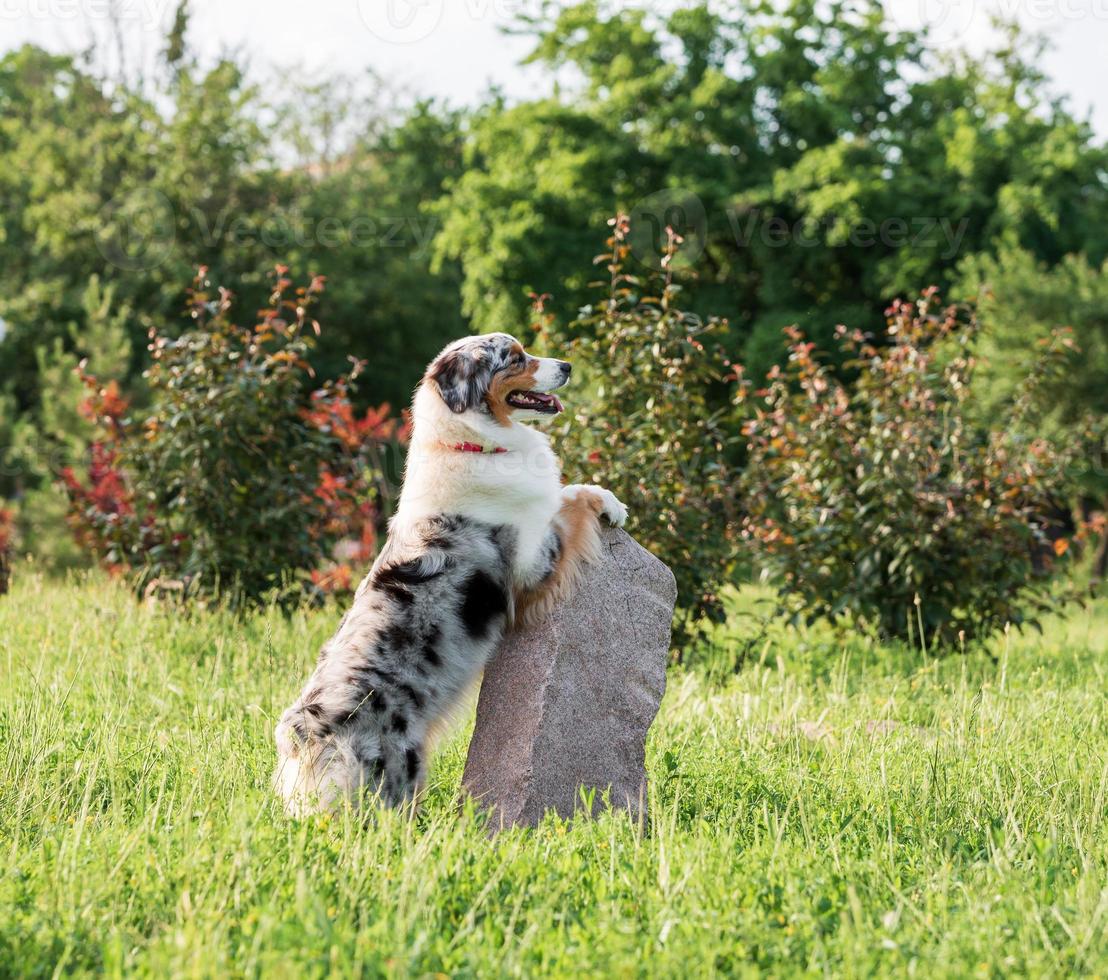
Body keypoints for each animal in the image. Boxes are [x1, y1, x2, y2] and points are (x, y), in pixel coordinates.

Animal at [273, 332, 629, 815]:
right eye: (515, 358)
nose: (568, 366)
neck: (468, 441)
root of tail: (303, 735)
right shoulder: (533, 566)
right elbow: (568, 505)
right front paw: (610, 502)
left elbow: (563, 493)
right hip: (396, 773)